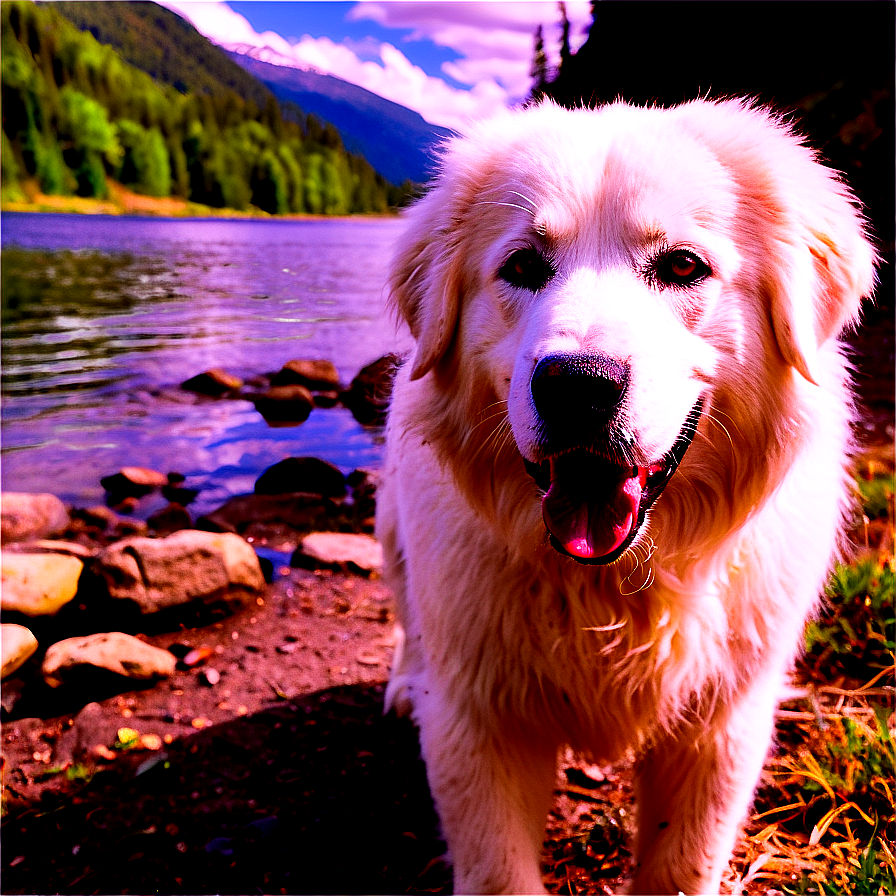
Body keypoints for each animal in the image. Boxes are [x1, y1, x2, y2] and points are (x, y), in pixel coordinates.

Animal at [376, 100, 876, 896]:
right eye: (523, 267)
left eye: (682, 266)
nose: (577, 384)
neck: (612, 590)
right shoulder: (480, 727)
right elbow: (498, 871)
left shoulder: (719, 733)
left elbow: (680, 864)